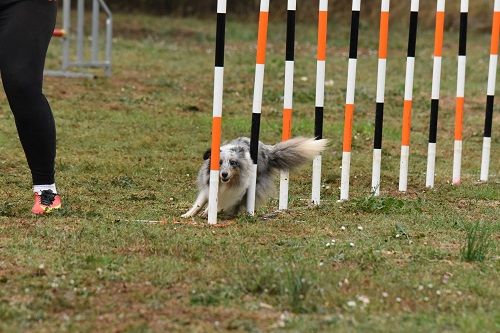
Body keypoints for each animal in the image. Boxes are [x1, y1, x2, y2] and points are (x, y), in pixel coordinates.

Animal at [182, 135, 330, 218]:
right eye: (219, 162)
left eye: (233, 163)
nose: (224, 174)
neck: (227, 183)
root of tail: (268, 151)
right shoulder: (208, 186)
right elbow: (199, 203)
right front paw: (187, 215)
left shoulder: (237, 192)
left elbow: (221, 203)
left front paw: (209, 212)